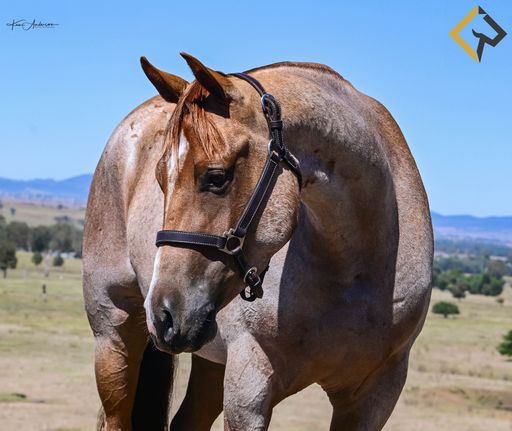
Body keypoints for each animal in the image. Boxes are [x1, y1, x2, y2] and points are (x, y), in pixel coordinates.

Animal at [83, 53, 433, 430]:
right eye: (160, 178)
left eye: (216, 177)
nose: (163, 315)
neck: (352, 269)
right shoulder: (250, 386)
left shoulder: (374, 397)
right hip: (114, 337)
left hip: (210, 358)